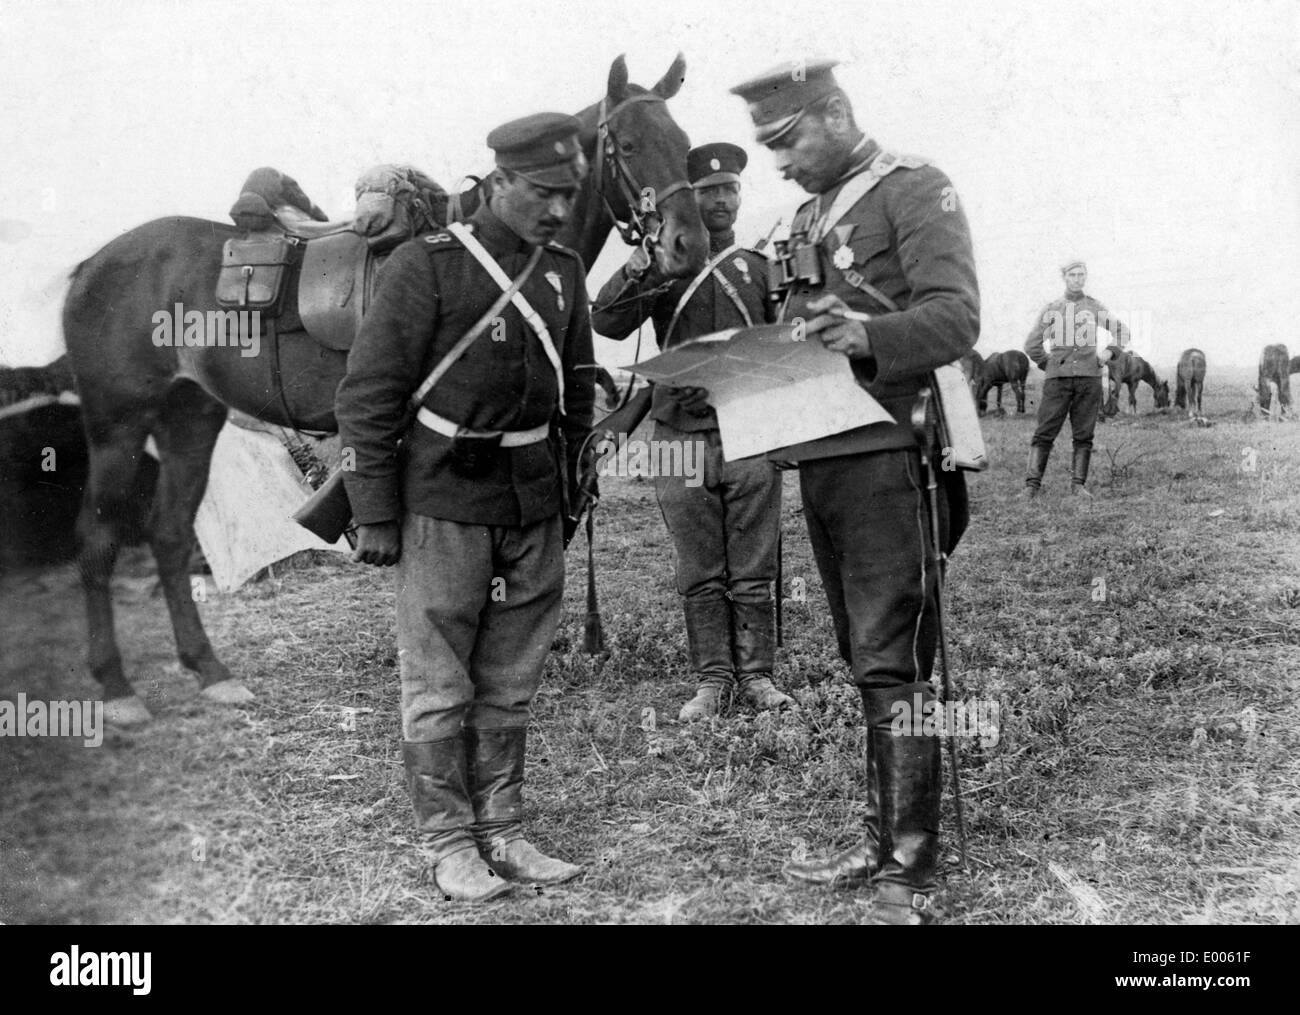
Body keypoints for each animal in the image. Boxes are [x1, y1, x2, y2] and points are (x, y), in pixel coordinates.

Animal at [62, 55, 712, 722]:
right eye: (628, 145)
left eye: (684, 144)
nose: (687, 245)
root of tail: (92, 265)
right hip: (117, 424)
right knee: (98, 539)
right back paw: (116, 688)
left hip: (190, 417)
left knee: (168, 535)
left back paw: (210, 671)